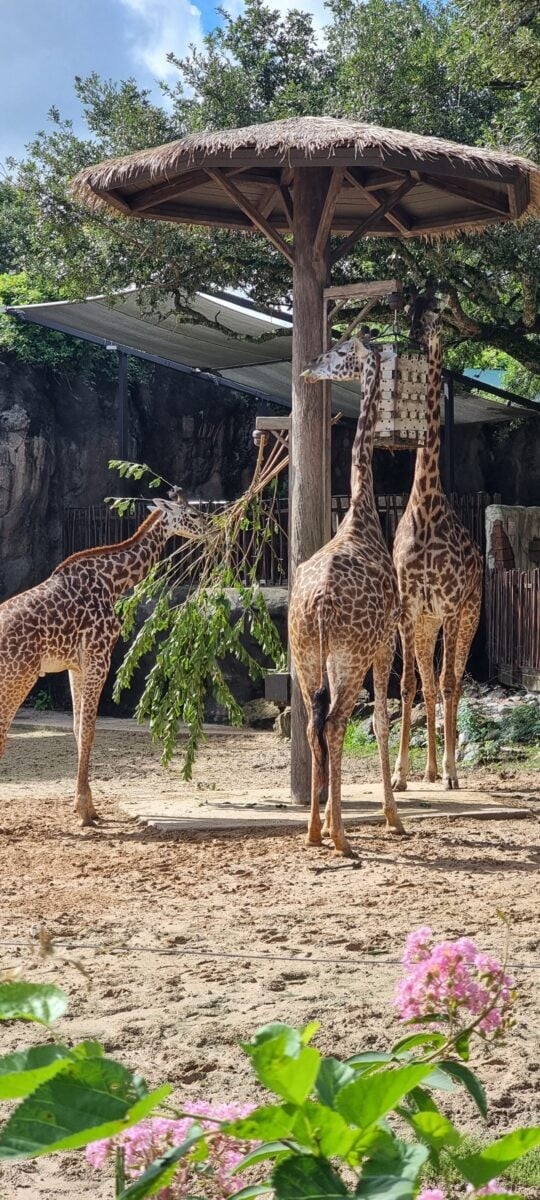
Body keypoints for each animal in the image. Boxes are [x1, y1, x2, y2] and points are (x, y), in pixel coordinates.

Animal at [0, 491, 207, 827]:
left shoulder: (75, 665)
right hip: (19, 677)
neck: (113, 582)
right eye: (194, 514)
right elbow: (89, 731)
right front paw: (84, 812)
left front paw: (89, 807)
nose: (212, 528)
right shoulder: (99, 656)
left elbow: (77, 729)